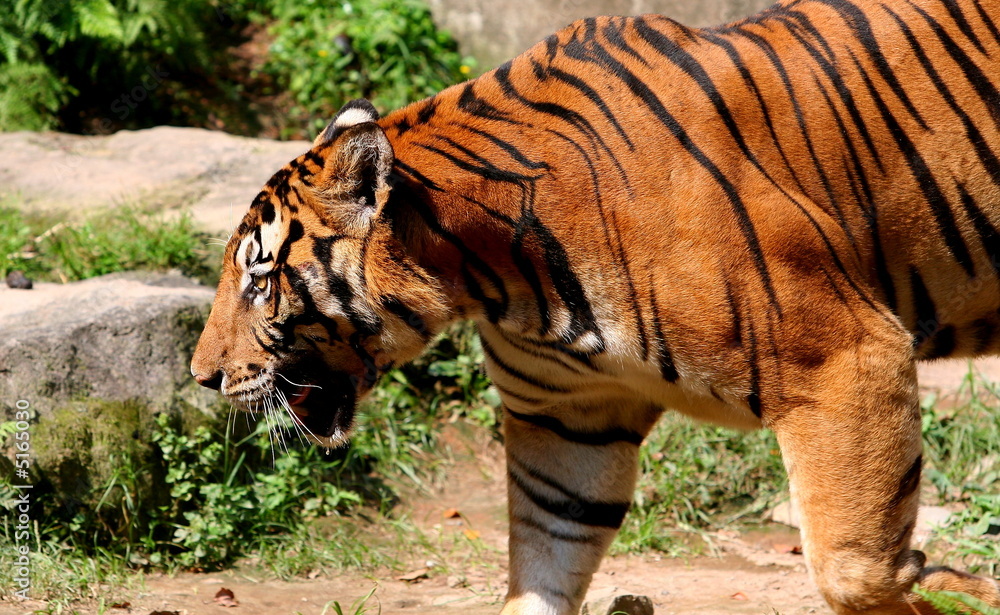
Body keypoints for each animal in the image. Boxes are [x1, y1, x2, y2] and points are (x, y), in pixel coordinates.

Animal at [191, 0, 1000, 612]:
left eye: (260, 279)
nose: (202, 376)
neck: (498, 279)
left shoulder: (843, 355)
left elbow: (856, 568)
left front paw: (954, 585)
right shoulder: (568, 420)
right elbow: (543, 569)